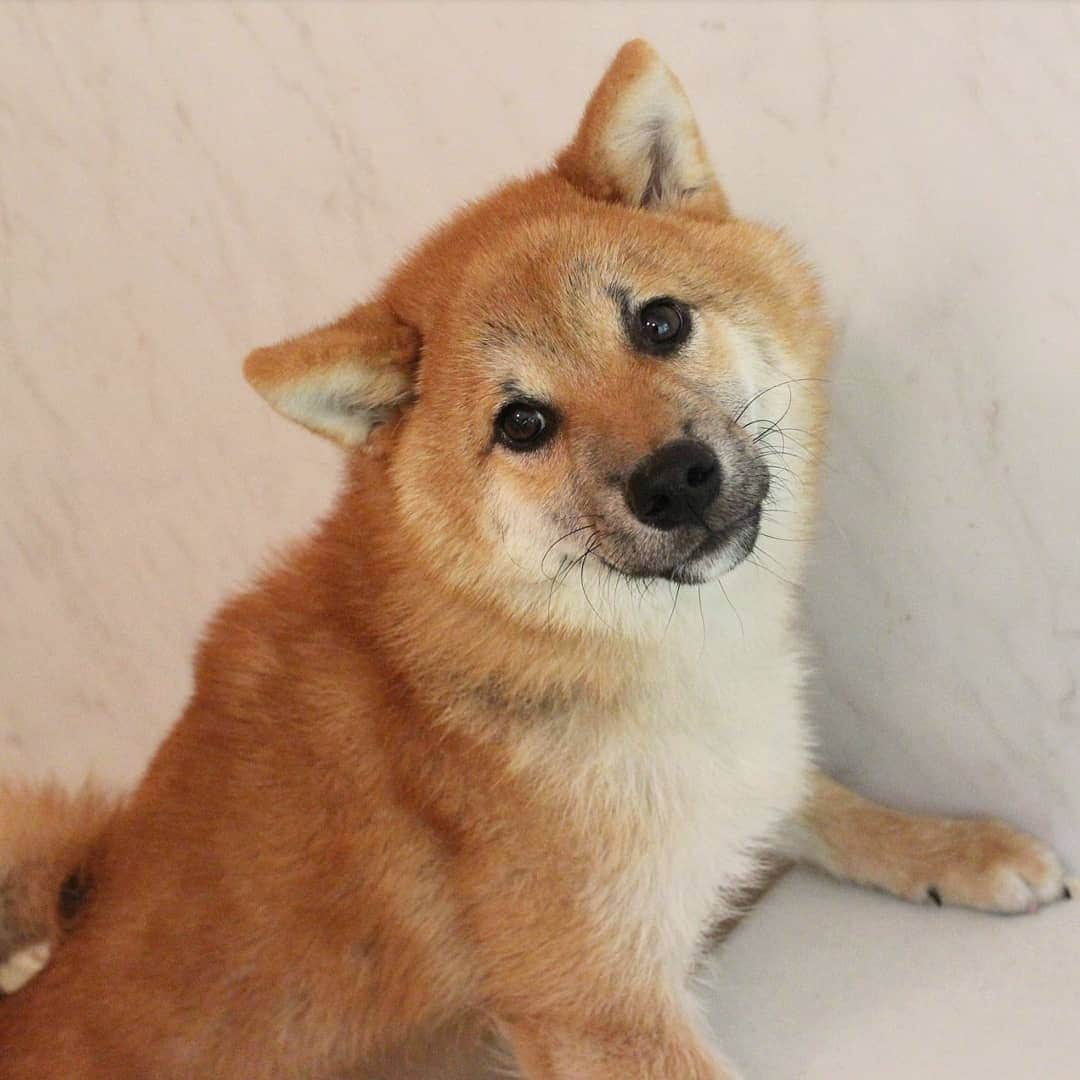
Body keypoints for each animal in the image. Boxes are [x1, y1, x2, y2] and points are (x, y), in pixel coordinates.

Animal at [0, 38, 1067, 1075]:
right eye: (521, 423)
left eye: (659, 321)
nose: (673, 480)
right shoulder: (601, 1010)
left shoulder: (734, 785)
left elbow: (823, 800)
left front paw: (953, 848)